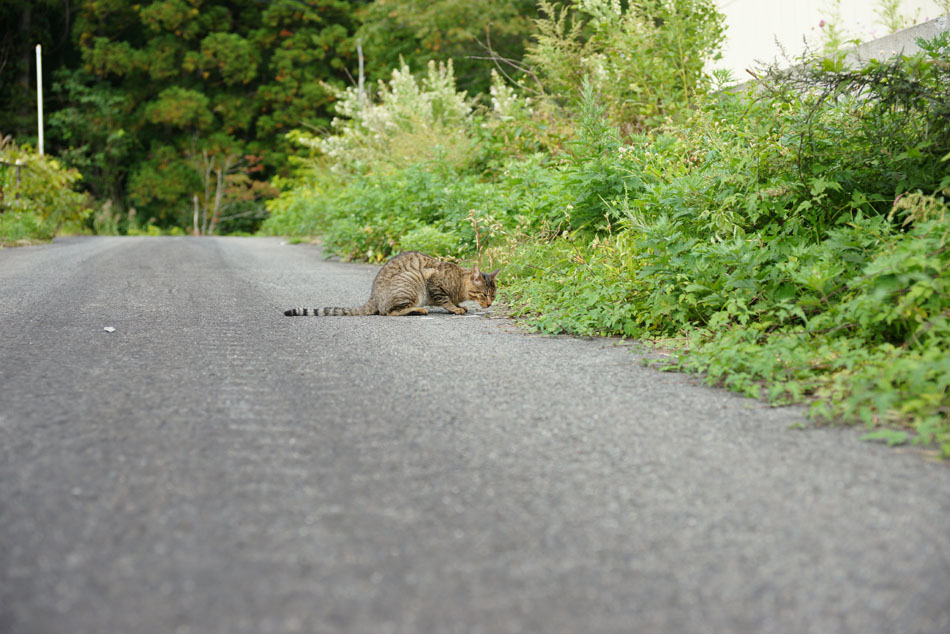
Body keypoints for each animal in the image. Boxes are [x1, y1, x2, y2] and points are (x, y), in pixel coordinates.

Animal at [286, 248, 502, 314]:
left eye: (493, 296)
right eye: (484, 294)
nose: (489, 304)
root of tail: (373, 297)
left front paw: (459, 306)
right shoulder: (433, 283)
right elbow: (446, 300)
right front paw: (455, 308)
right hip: (412, 280)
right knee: (390, 311)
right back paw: (418, 309)